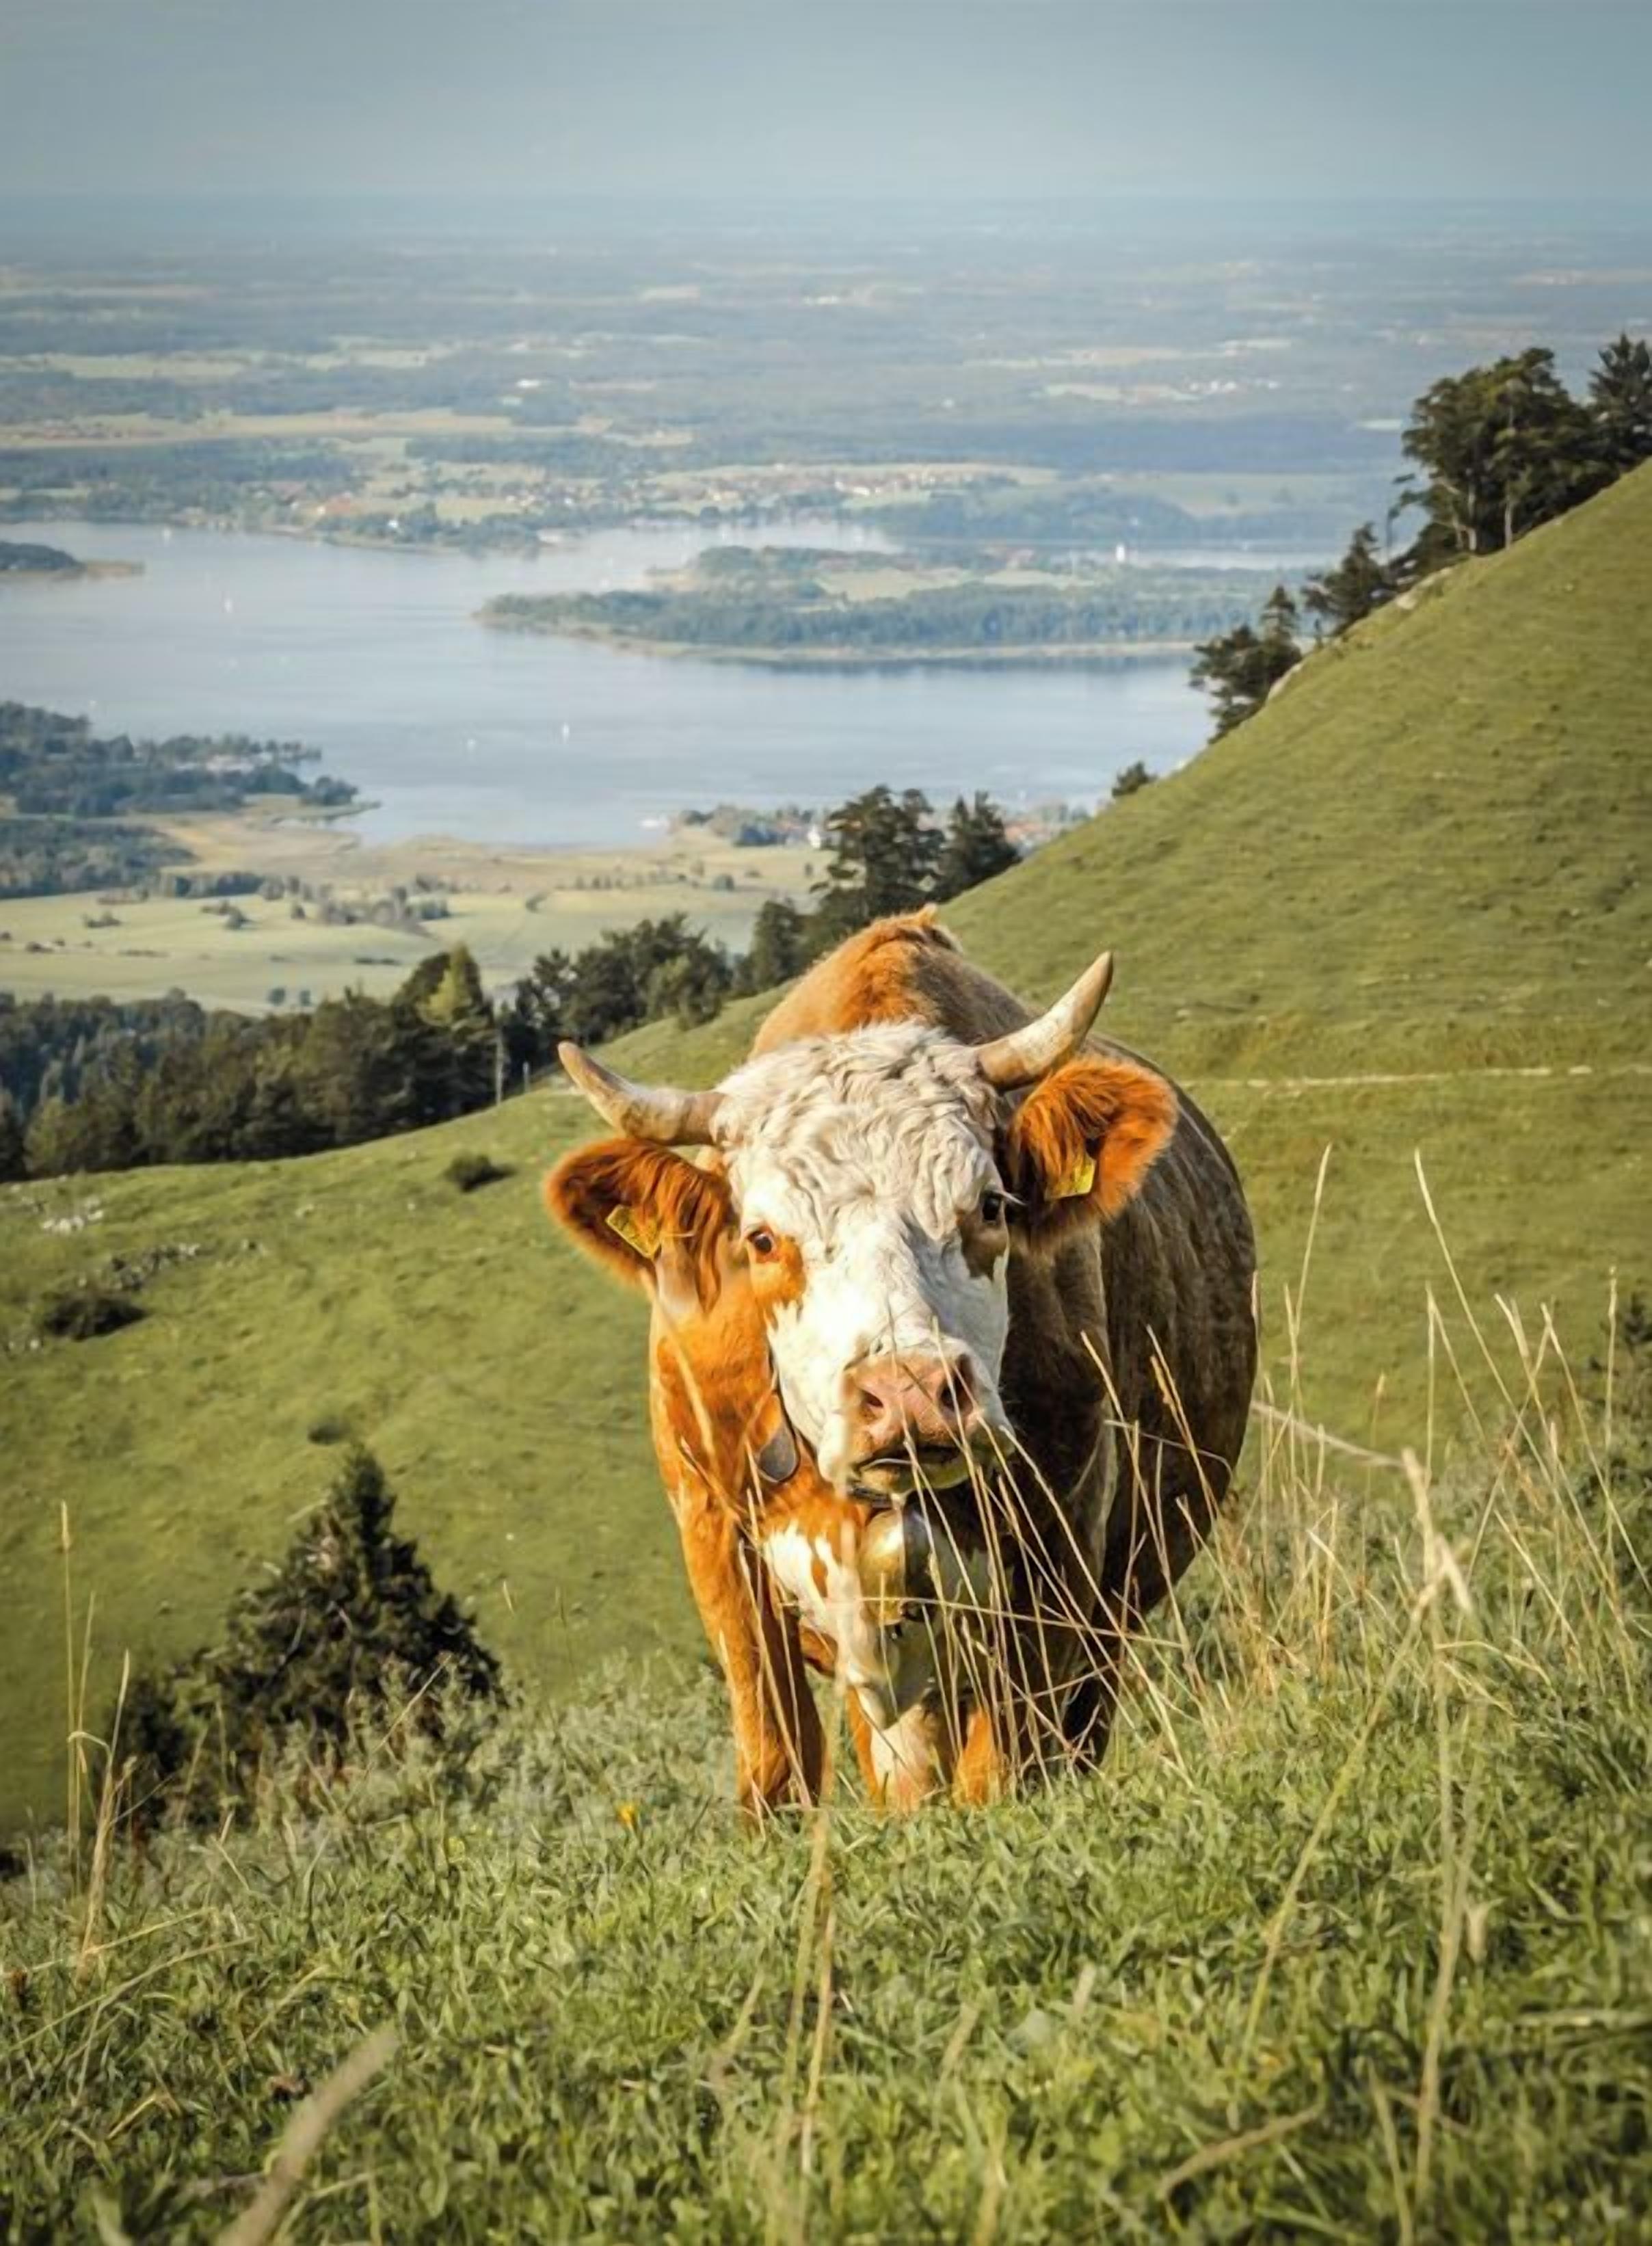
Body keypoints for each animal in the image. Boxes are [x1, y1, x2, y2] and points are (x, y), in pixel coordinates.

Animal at [549, 912, 1257, 1807]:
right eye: (761, 1238)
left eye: (990, 1205)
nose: (910, 1391)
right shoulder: (716, 1542)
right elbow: (778, 1763)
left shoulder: (1059, 1553)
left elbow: (1005, 1768)